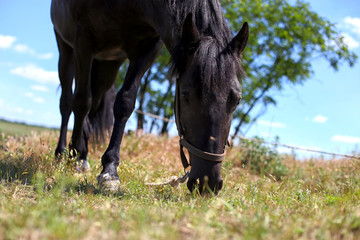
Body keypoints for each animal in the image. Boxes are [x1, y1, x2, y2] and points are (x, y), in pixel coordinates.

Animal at [51, 0, 248, 193]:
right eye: (185, 95)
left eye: (237, 100)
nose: (208, 182)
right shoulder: (83, 40)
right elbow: (81, 101)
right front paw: (73, 157)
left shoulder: (148, 50)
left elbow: (125, 102)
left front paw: (108, 169)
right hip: (66, 49)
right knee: (67, 103)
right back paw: (62, 154)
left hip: (108, 65)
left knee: (93, 105)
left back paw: (82, 158)